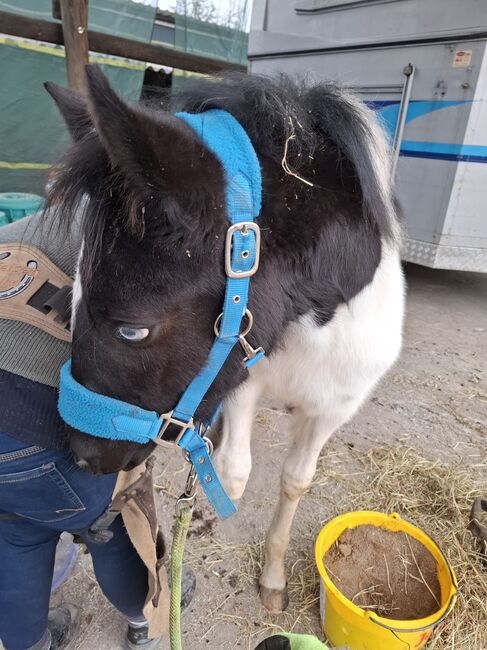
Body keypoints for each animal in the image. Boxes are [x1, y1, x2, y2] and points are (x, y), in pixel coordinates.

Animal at [45, 67, 406, 612]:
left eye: (133, 328)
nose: (85, 457)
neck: (306, 321)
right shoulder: (240, 382)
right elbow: (233, 471)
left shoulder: (333, 406)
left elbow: (295, 480)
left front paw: (273, 579)